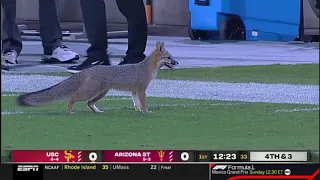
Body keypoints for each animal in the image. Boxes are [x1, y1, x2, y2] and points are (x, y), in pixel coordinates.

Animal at [17, 41, 179, 113]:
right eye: (169, 58)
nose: (177, 63)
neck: (147, 68)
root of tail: (90, 69)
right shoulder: (141, 90)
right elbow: (143, 103)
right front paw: (146, 112)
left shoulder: (134, 92)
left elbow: (136, 103)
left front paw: (139, 111)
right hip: (90, 92)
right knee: (72, 98)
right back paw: (70, 111)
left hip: (100, 93)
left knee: (89, 103)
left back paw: (98, 112)